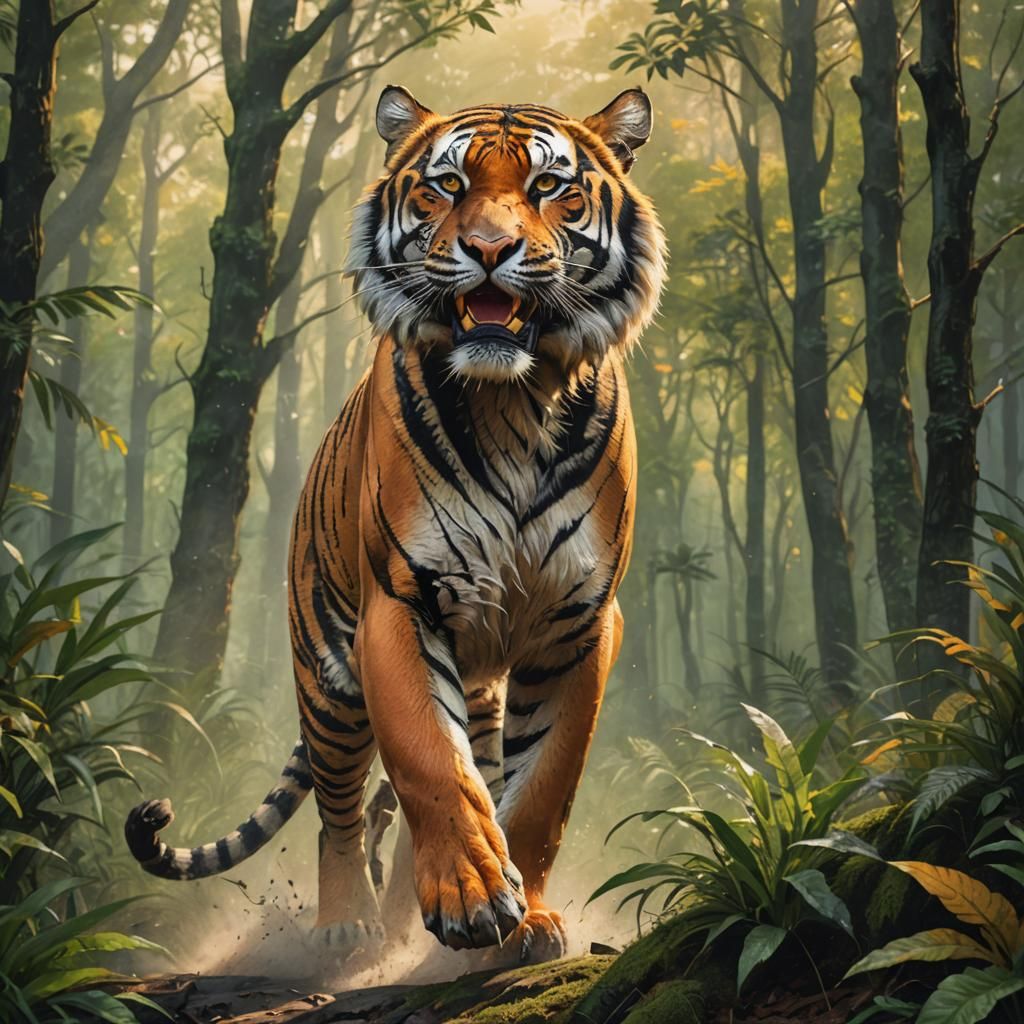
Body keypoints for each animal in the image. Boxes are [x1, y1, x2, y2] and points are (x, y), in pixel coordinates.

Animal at [126, 84, 666, 963]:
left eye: (550, 187)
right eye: (447, 186)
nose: (490, 249)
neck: (514, 402)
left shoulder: (579, 621)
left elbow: (543, 788)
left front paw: (526, 916)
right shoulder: (403, 601)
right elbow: (427, 761)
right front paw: (473, 898)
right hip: (330, 681)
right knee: (340, 812)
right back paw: (347, 926)